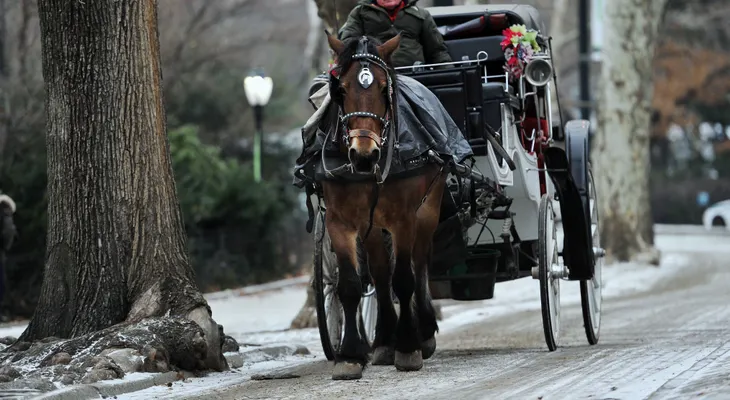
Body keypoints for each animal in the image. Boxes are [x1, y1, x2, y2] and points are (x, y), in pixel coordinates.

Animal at [321, 33, 447, 380]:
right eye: (341, 90)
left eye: (382, 89)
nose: (364, 155)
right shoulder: (339, 222)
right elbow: (350, 285)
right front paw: (350, 354)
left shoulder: (405, 219)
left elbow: (403, 279)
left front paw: (408, 346)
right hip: (372, 226)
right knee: (378, 274)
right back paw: (383, 341)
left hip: (429, 209)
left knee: (419, 264)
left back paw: (423, 331)